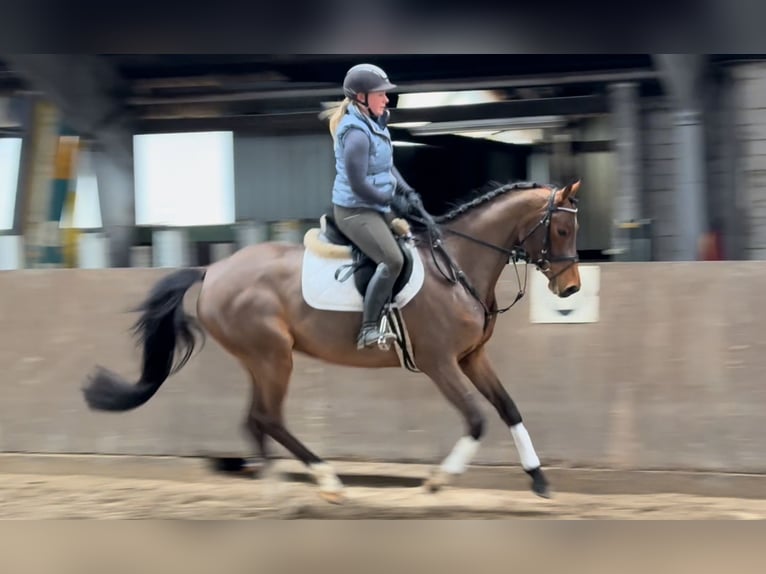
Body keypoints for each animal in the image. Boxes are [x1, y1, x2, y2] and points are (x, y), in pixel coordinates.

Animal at [82, 179, 584, 504]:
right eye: (561, 230)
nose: (571, 289)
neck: (456, 266)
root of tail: (213, 271)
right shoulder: (440, 362)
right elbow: (477, 419)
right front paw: (438, 482)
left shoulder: (472, 356)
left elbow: (509, 409)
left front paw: (539, 479)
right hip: (273, 357)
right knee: (268, 417)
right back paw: (324, 481)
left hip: (261, 360)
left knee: (255, 420)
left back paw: (276, 488)